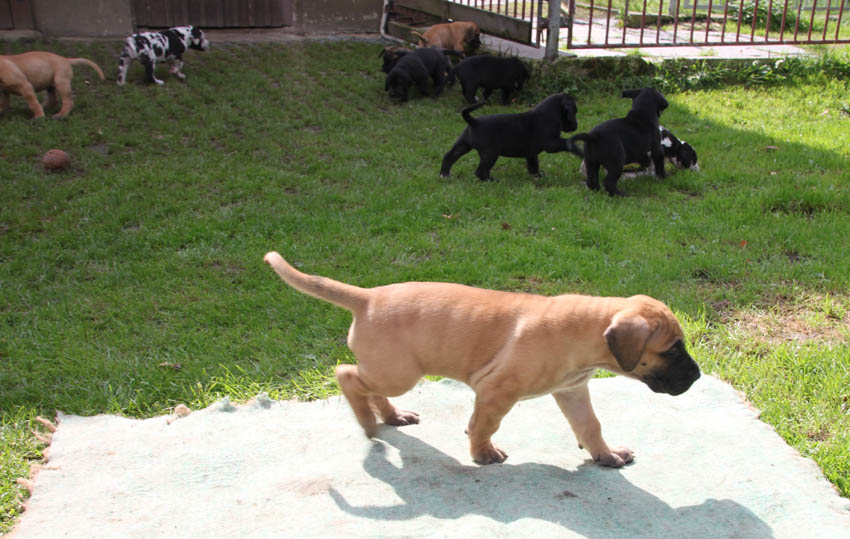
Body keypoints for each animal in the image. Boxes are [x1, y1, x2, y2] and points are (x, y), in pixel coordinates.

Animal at [264, 251, 701, 467]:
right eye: (672, 350)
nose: (697, 377)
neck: (585, 331)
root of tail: (367, 297)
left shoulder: (572, 391)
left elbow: (590, 425)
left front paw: (605, 454)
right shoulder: (496, 391)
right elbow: (485, 424)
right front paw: (482, 453)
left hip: (392, 371)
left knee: (367, 383)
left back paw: (391, 416)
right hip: (398, 372)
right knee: (348, 374)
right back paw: (370, 422)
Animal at [440, 93, 583, 182]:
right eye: (574, 112)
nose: (576, 126)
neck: (550, 112)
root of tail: (474, 122)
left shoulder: (531, 153)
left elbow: (534, 165)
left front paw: (538, 176)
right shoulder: (552, 144)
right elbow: (568, 143)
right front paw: (580, 151)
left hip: (463, 145)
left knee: (449, 156)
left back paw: (444, 174)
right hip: (490, 153)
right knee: (481, 171)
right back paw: (492, 180)